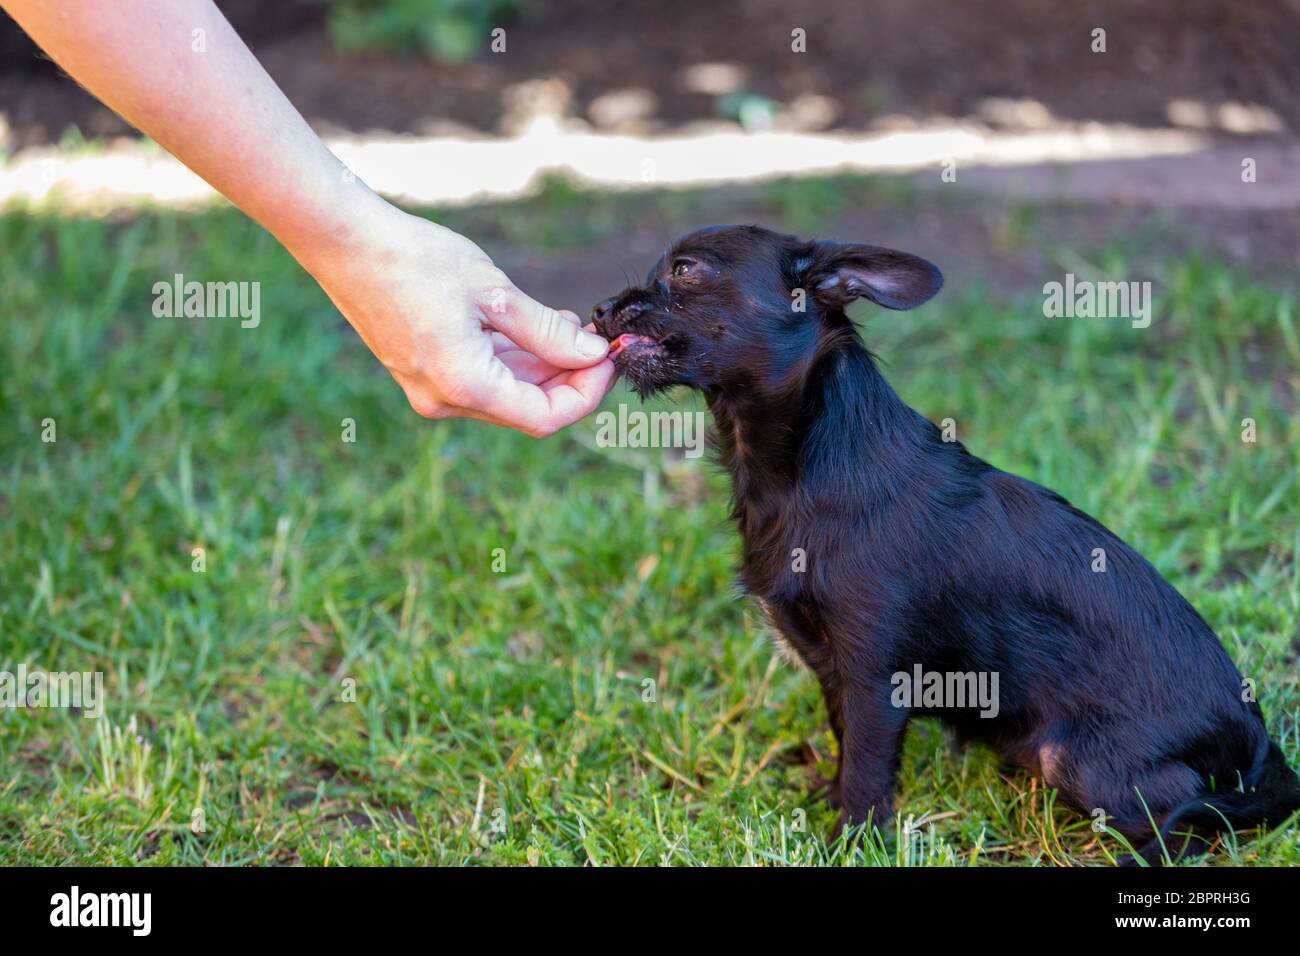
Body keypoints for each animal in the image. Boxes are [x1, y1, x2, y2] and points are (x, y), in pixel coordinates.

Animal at [595, 226, 1294, 868]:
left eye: (685, 270)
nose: (600, 309)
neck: (803, 461)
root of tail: (1261, 747)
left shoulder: (876, 678)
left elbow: (868, 773)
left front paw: (851, 844)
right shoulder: (836, 673)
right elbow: (847, 751)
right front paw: (831, 800)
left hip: (1075, 756)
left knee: (1191, 821)